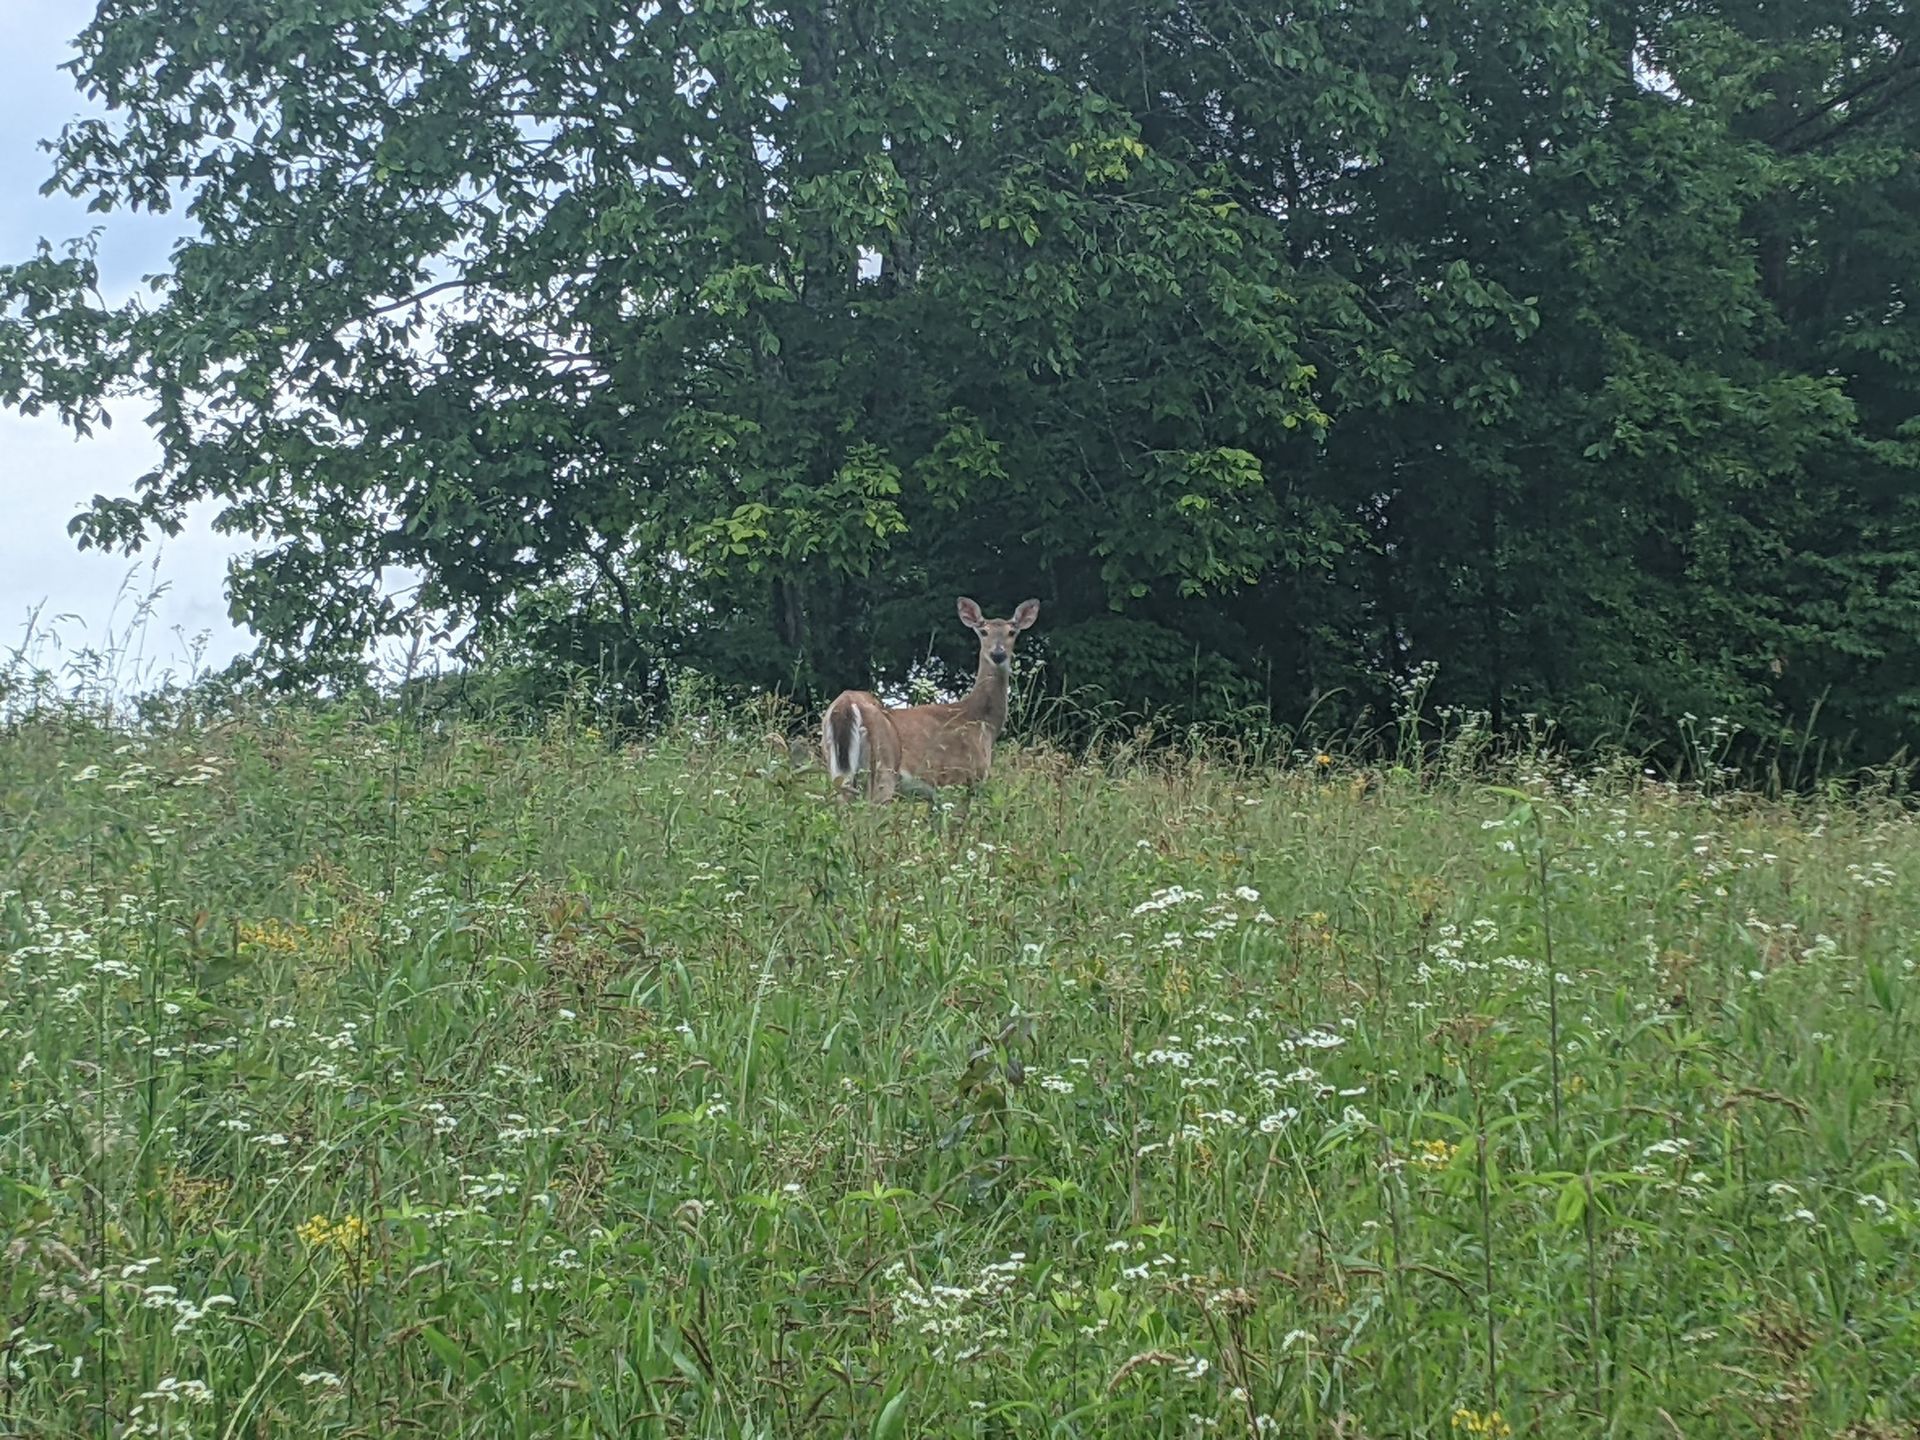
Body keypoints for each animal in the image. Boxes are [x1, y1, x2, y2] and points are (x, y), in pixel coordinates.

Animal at [821, 596, 1040, 810]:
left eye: (1012, 632)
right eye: (984, 631)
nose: (998, 654)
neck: (982, 721)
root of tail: (845, 704)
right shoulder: (962, 778)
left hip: (838, 768)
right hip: (883, 767)